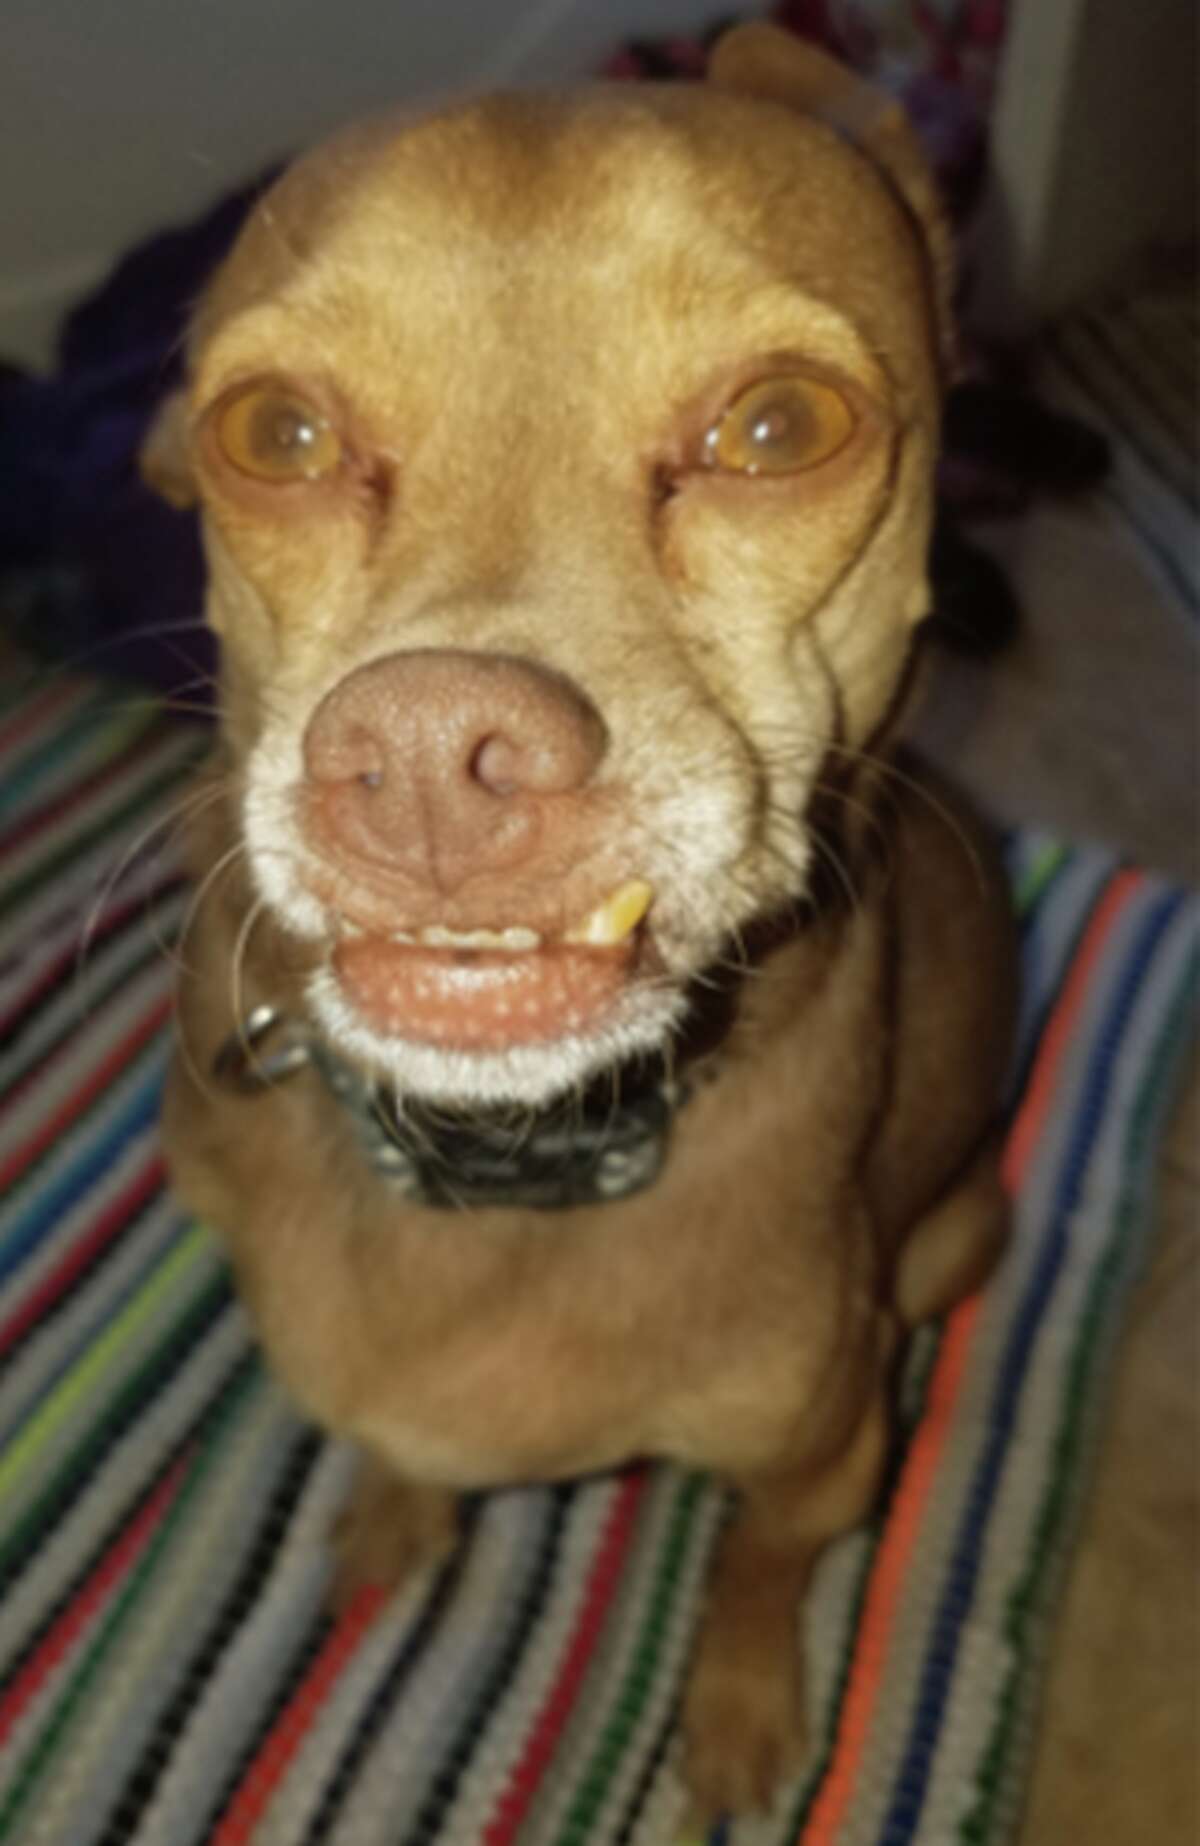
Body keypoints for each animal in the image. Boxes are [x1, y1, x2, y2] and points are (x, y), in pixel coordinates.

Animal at [144, 25, 1011, 1816]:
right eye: (274, 431)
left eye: (778, 425)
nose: (426, 760)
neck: (499, 1176)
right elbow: (394, 1440)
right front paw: (396, 1516)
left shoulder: (829, 1453)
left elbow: (756, 1569)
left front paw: (740, 1718)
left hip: (958, 1237)